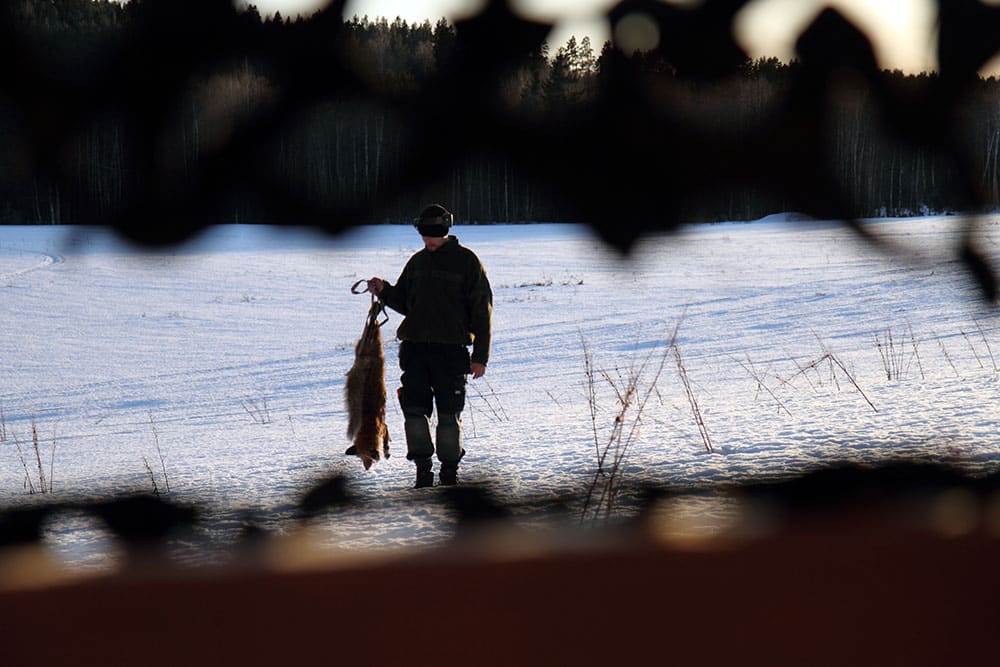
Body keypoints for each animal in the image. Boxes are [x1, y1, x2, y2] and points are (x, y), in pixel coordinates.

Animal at [344, 314, 390, 470]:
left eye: (370, 459)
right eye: (360, 458)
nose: (367, 468)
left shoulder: (383, 426)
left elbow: (387, 434)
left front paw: (387, 450)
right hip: (363, 349)